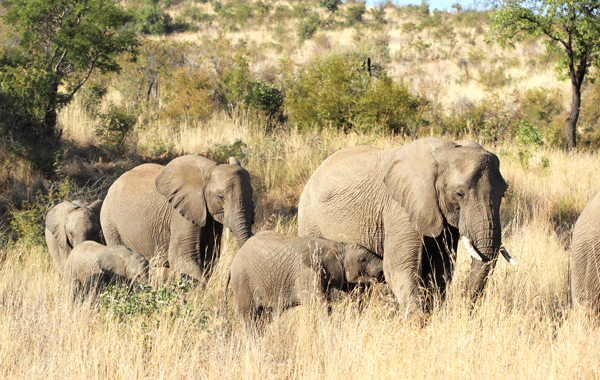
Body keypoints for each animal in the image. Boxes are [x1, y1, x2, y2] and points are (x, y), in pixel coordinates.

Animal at [99, 154, 254, 282]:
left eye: (251, 194)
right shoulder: (181, 214)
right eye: (221, 197)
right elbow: (182, 258)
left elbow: (210, 257)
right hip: (109, 222)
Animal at [225, 230, 384, 322]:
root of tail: (231, 265)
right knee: (250, 318)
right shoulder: (306, 273)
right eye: (362, 260)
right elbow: (319, 307)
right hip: (242, 281)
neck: (336, 245)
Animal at [300, 137, 516, 314]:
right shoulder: (399, 209)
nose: (463, 310)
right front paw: (416, 325)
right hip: (309, 217)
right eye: (459, 194)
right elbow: (398, 267)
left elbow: (440, 270)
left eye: (503, 193)